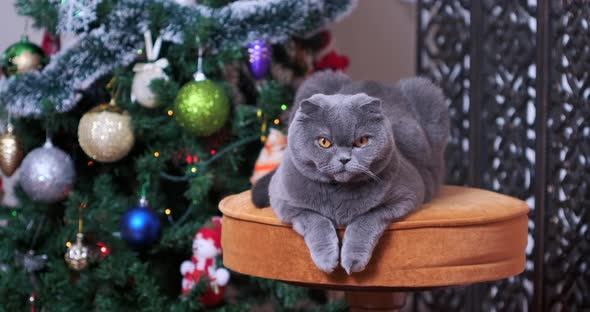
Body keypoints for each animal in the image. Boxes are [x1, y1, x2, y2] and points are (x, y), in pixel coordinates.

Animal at [252, 70, 450, 272]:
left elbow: (366, 220)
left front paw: (353, 260)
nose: (344, 159)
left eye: (362, 141)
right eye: (324, 142)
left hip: (427, 93)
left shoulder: (407, 195)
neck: (338, 191)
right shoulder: (283, 200)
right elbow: (316, 220)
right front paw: (326, 259)